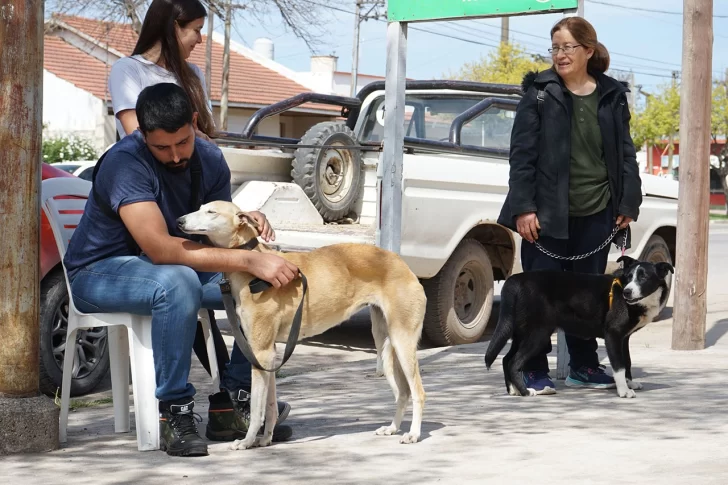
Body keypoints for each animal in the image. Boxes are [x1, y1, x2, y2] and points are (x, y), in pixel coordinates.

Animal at [177, 199, 426, 448]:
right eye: (200, 207)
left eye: (211, 211)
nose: (179, 221)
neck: (253, 269)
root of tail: (402, 263)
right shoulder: (270, 354)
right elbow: (270, 405)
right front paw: (265, 439)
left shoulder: (260, 352)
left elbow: (257, 408)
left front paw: (246, 441)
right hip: (385, 345)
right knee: (402, 393)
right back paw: (392, 428)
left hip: (402, 342)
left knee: (418, 392)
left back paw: (413, 434)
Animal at [486, 255, 672, 398]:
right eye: (628, 277)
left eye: (643, 277)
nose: (627, 292)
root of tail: (516, 279)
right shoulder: (613, 335)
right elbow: (619, 366)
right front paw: (624, 391)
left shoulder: (624, 338)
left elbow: (627, 362)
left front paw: (630, 383)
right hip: (538, 334)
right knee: (514, 362)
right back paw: (525, 392)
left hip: (521, 332)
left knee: (506, 359)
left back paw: (513, 390)